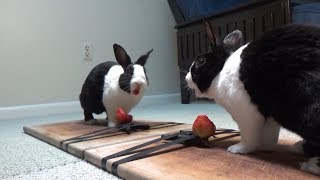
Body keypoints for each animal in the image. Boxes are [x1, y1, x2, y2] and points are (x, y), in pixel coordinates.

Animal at [185, 20, 320, 175]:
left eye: (200, 61)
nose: (186, 78)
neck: (220, 72)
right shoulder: (268, 117)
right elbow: (269, 135)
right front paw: (266, 146)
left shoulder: (247, 114)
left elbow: (248, 136)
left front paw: (237, 149)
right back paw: (299, 147)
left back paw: (311, 165)